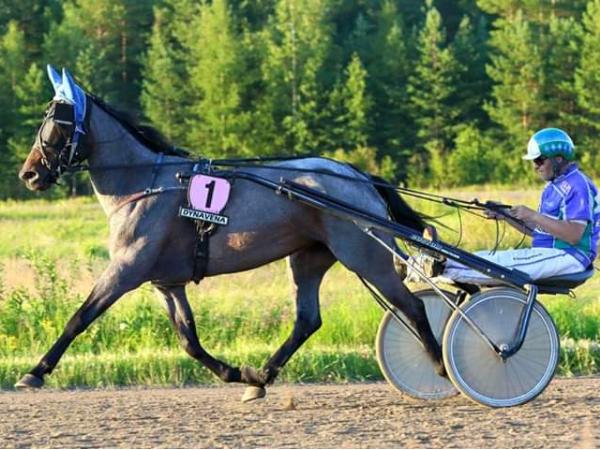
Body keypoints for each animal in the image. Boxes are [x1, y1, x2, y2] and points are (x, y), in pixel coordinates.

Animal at [16, 67, 443, 401]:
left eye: (57, 123)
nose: (29, 174)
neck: (143, 183)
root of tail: (356, 175)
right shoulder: (166, 282)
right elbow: (189, 340)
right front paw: (235, 372)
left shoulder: (126, 269)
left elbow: (79, 317)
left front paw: (35, 372)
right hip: (308, 257)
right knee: (307, 320)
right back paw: (261, 377)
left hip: (365, 255)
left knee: (412, 306)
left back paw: (439, 364)